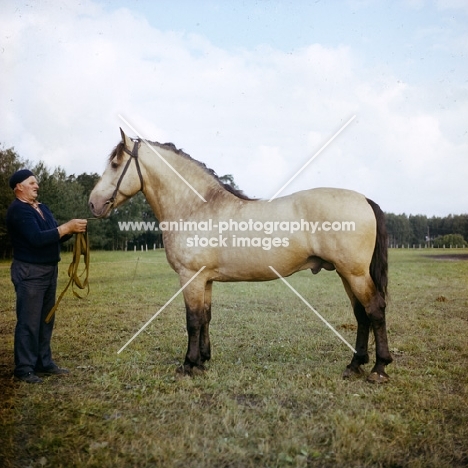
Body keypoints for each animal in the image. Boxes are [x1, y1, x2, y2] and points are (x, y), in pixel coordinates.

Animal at [89, 129, 394, 384]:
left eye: (115, 163)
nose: (92, 203)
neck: (195, 207)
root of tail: (364, 199)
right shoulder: (205, 280)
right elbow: (206, 317)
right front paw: (202, 361)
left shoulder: (190, 277)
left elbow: (192, 320)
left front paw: (188, 365)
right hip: (346, 273)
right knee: (361, 314)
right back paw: (355, 364)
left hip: (354, 273)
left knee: (375, 310)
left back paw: (379, 369)